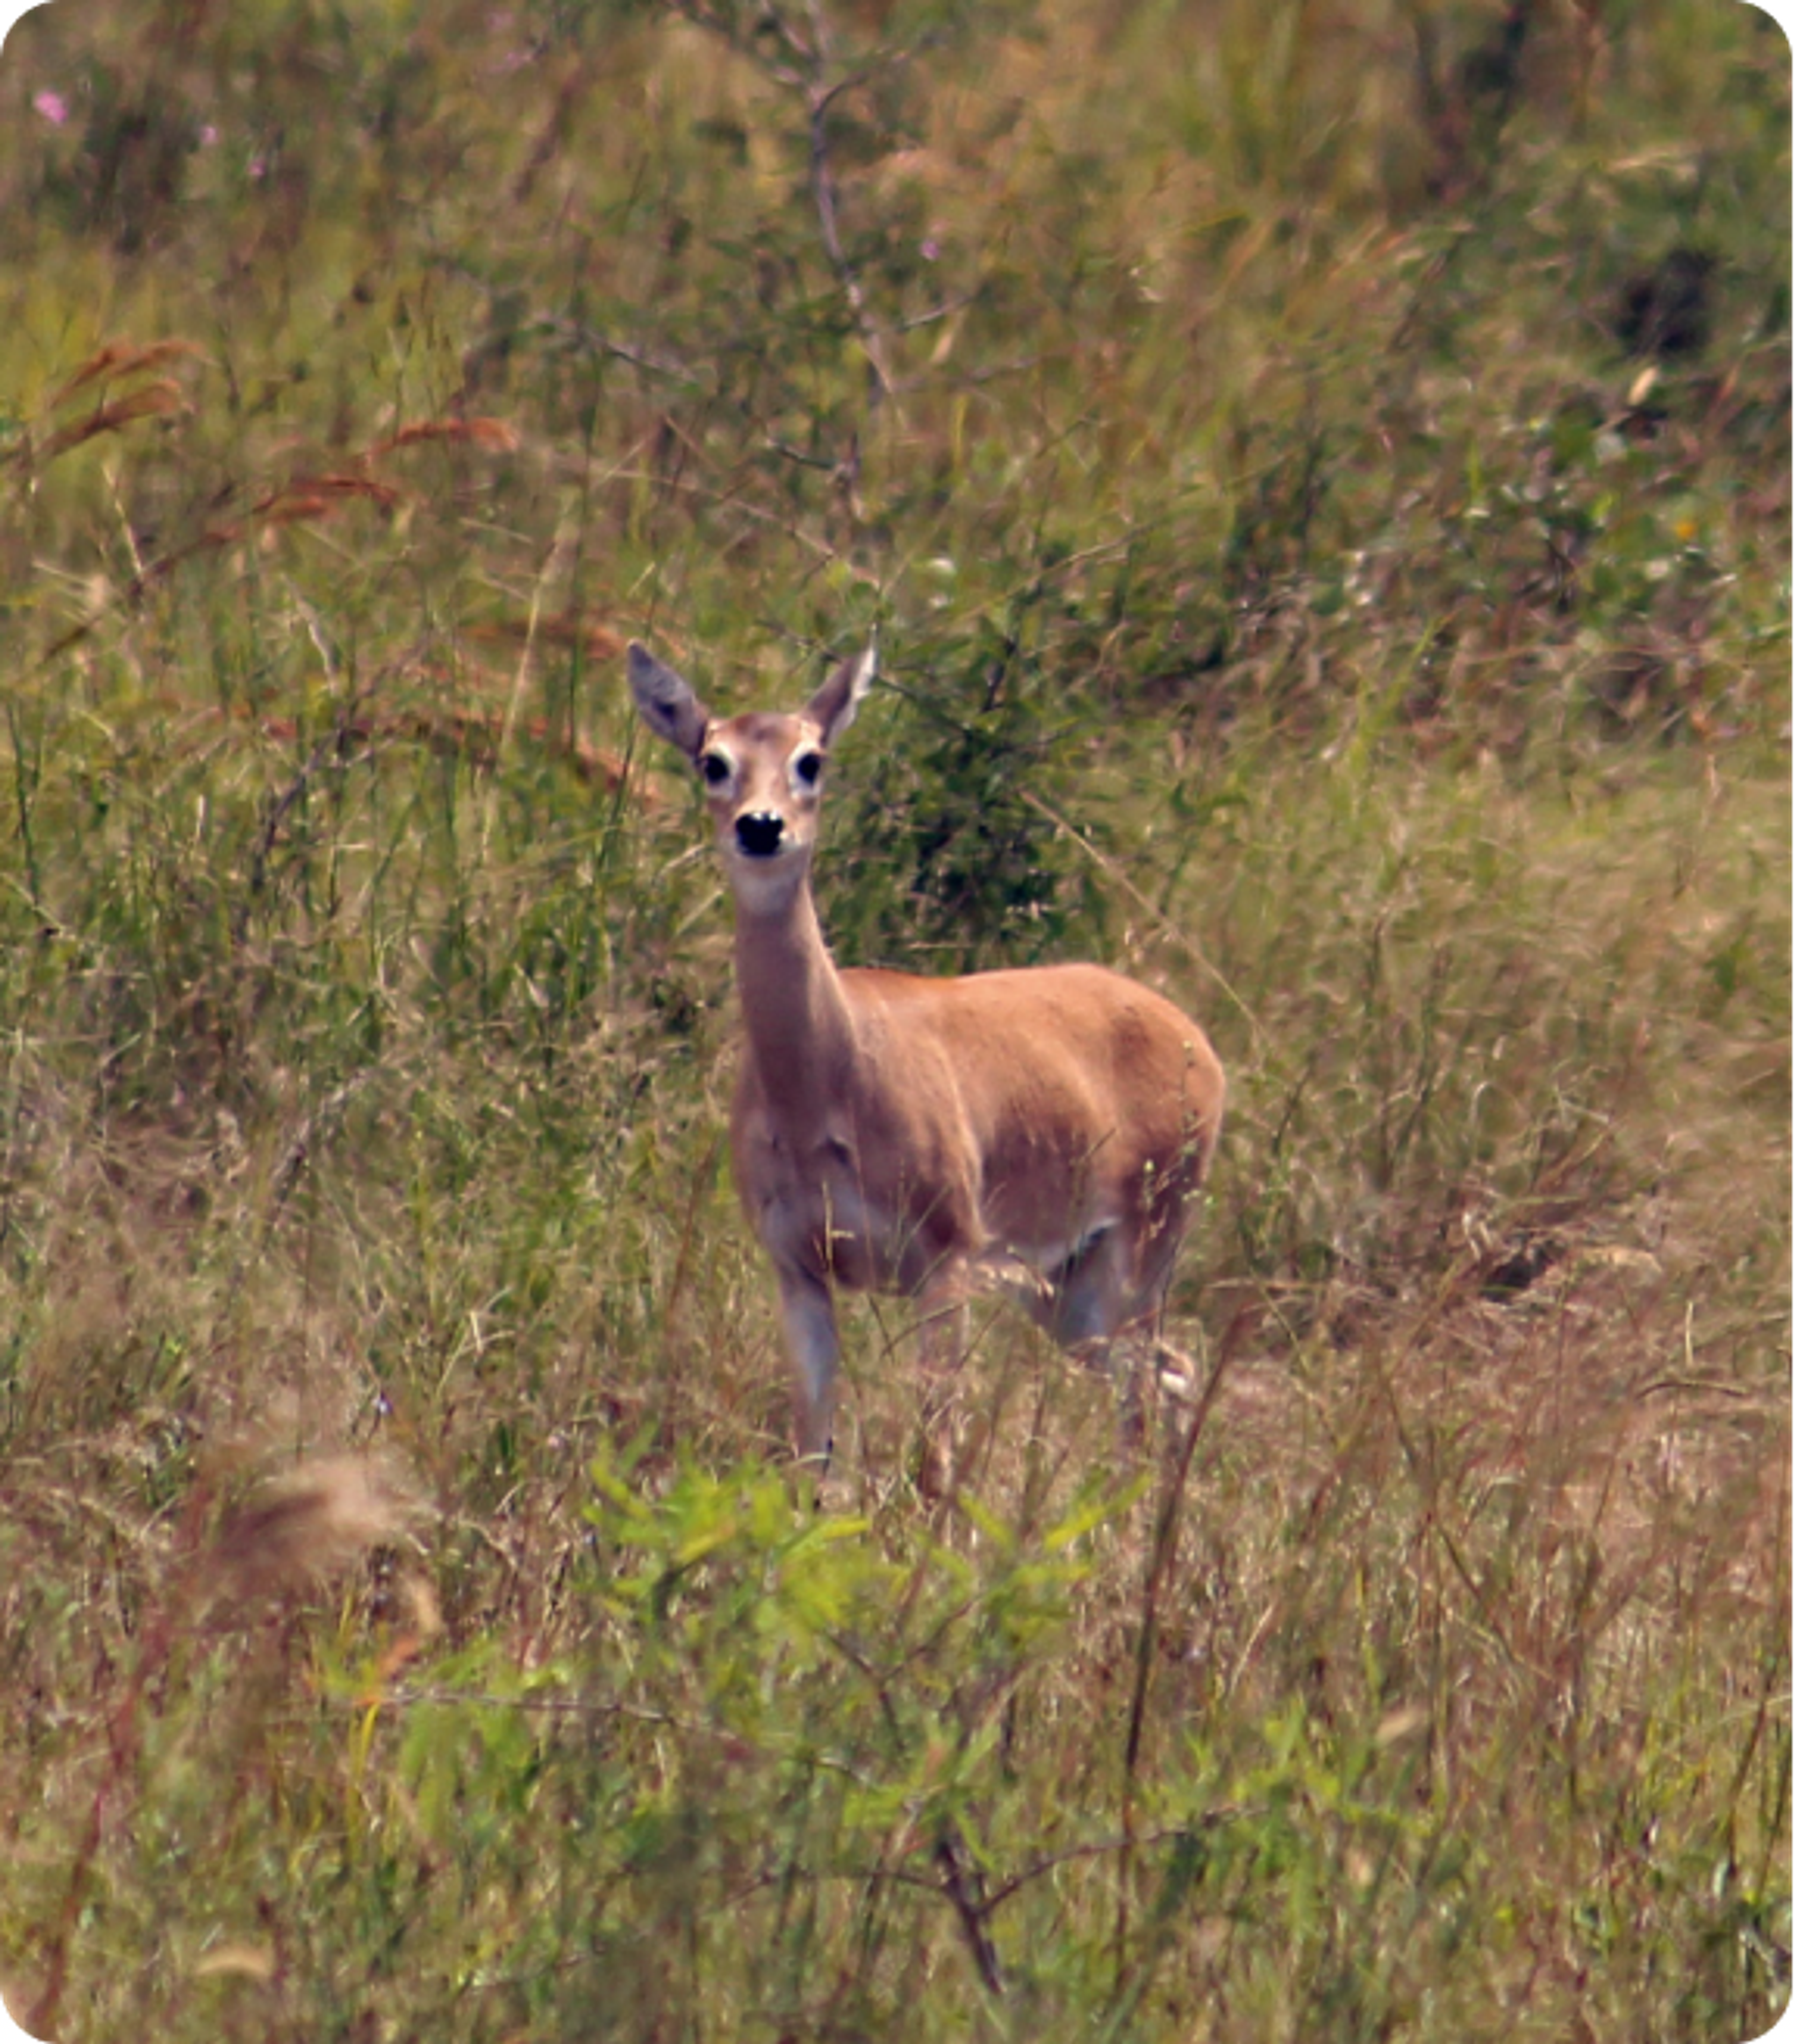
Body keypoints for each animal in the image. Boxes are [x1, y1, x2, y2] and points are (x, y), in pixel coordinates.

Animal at [628, 638, 1226, 1479]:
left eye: (812, 758)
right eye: (713, 760)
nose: (762, 826)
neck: (824, 1098)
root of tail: (1199, 1043)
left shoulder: (947, 1256)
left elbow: (934, 1461)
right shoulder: (797, 1264)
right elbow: (811, 1453)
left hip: (1149, 1239)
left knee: (1148, 1384)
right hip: (1068, 1286)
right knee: (1171, 1371)